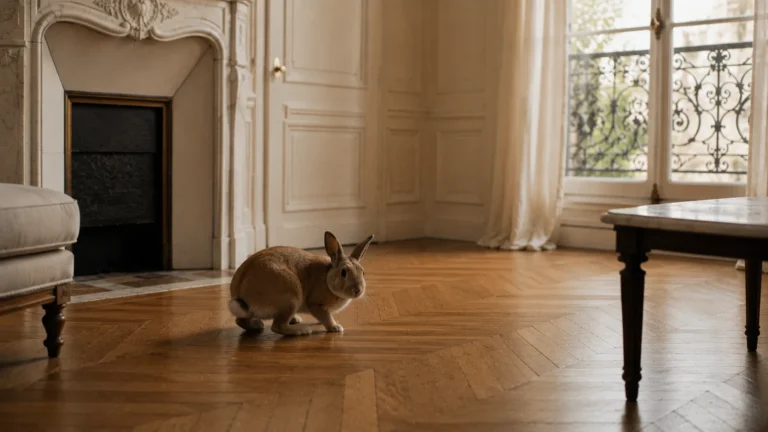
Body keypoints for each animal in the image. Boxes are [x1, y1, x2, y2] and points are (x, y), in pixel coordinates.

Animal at [228, 231, 373, 336]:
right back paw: (301, 330)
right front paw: (335, 327)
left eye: (362, 272)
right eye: (343, 272)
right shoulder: (315, 304)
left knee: (240, 320)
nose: (358, 290)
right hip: (291, 296)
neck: (327, 278)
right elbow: (326, 316)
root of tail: (241, 297)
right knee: (277, 326)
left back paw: (260, 325)